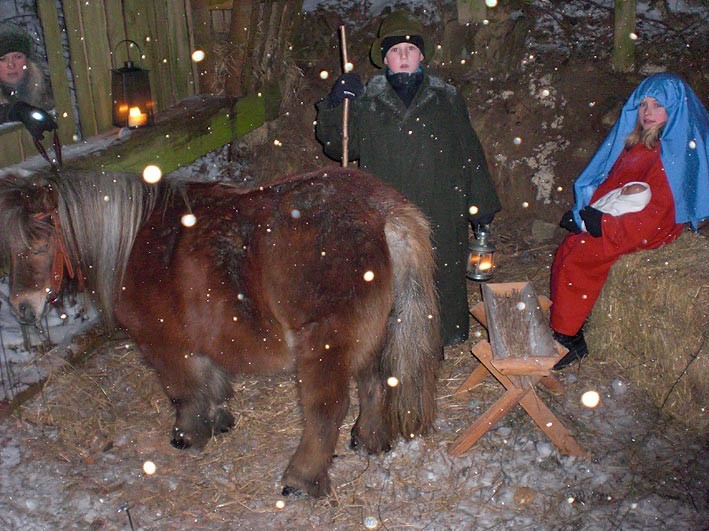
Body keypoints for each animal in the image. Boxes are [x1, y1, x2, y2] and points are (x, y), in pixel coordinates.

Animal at [0, 168, 440, 496]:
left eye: (36, 246)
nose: (21, 308)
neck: (134, 242)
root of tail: (381, 212)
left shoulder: (164, 344)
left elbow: (183, 392)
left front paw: (189, 434)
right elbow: (211, 380)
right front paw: (219, 418)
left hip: (325, 344)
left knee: (325, 410)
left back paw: (301, 479)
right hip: (370, 334)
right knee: (375, 383)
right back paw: (370, 440)